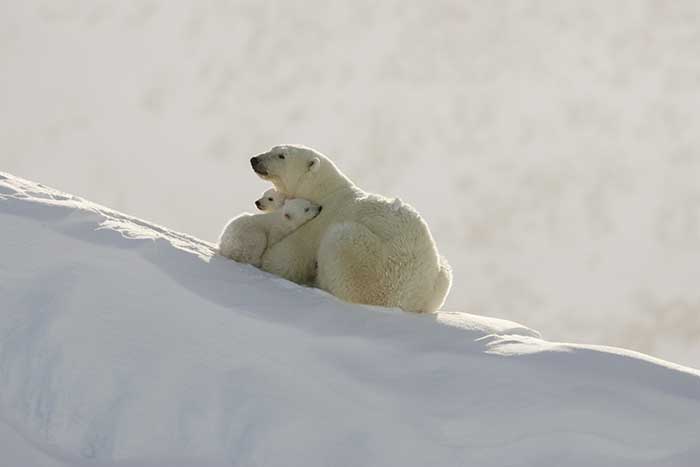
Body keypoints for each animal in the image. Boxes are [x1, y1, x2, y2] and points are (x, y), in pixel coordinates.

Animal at [252, 145, 454, 314]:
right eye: (273, 148)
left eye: (281, 155)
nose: (254, 159)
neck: (323, 191)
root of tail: (407, 301)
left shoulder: (318, 221)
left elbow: (291, 255)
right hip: (439, 279)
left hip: (370, 266)